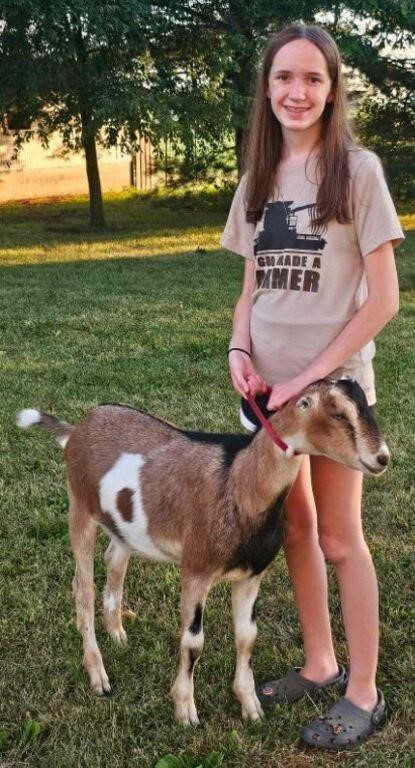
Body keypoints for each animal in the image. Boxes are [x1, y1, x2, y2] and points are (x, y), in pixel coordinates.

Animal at [17, 378, 390, 728]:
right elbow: (193, 641)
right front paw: (185, 710)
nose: (382, 458)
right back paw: (98, 675)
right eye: (337, 413)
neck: (238, 484)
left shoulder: (250, 575)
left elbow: (247, 637)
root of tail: (78, 429)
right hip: (79, 507)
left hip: (123, 526)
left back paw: (118, 632)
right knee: (82, 588)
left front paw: (250, 706)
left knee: (115, 559)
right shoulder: (195, 570)